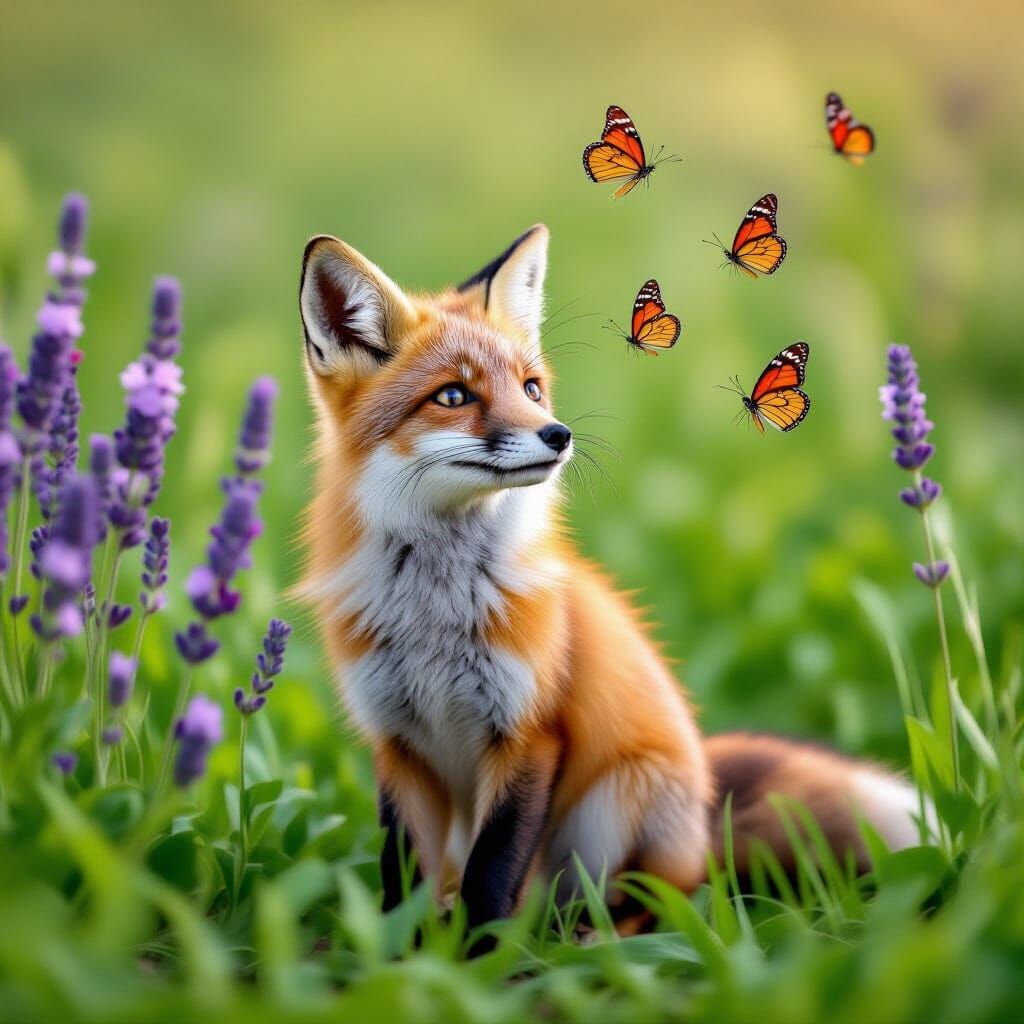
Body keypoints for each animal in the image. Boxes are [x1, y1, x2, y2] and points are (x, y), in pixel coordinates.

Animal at [296, 224, 926, 931]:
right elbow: (402, 881)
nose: (558, 434)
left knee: (660, 902)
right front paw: (407, 951)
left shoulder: (531, 733)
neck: (436, 611)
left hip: (614, 804)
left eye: (532, 387)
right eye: (453, 396)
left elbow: (493, 878)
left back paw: (591, 938)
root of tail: (705, 806)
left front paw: (481, 957)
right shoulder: (397, 743)